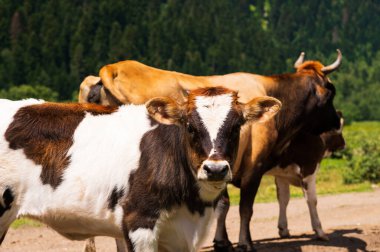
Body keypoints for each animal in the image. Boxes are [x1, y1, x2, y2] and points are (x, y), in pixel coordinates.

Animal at [266, 111, 346, 241]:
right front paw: (319, 231)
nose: (344, 144)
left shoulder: (282, 175)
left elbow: (283, 199)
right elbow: (312, 200)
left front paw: (283, 229)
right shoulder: (309, 168)